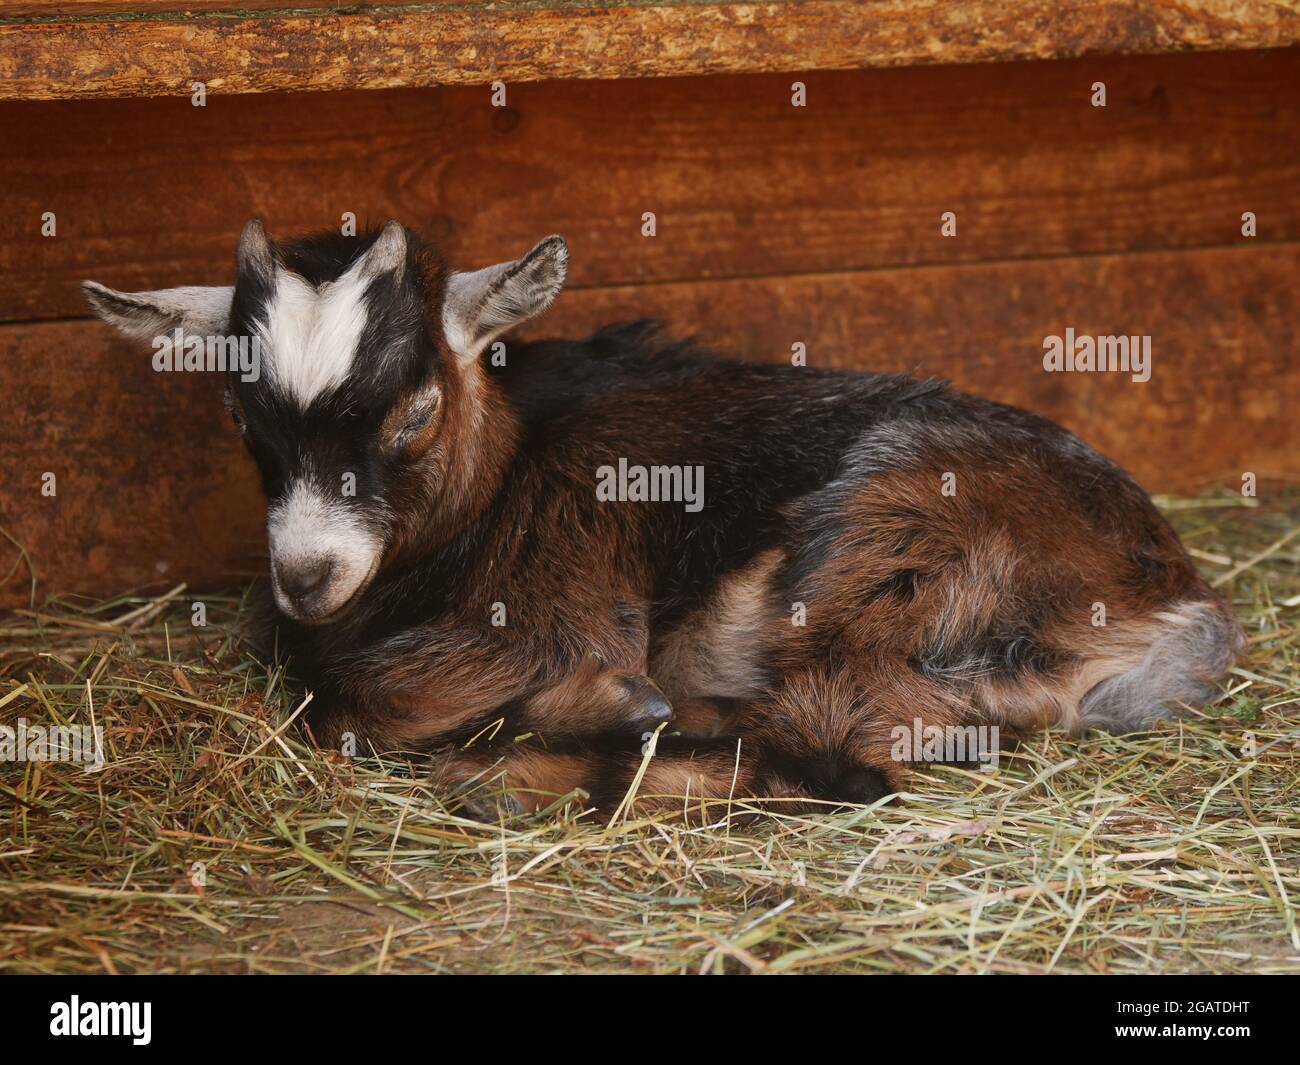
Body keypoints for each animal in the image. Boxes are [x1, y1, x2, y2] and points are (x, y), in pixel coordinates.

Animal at [86, 224, 1242, 821]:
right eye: (241, 418)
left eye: (410, 411)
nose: (307, 575)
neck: (502, 478)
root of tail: (1176, 603)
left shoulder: (560, 590)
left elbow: (352, 703)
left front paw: (595, 710)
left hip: (880, 540)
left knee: (842, 767)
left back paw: (553, 756)